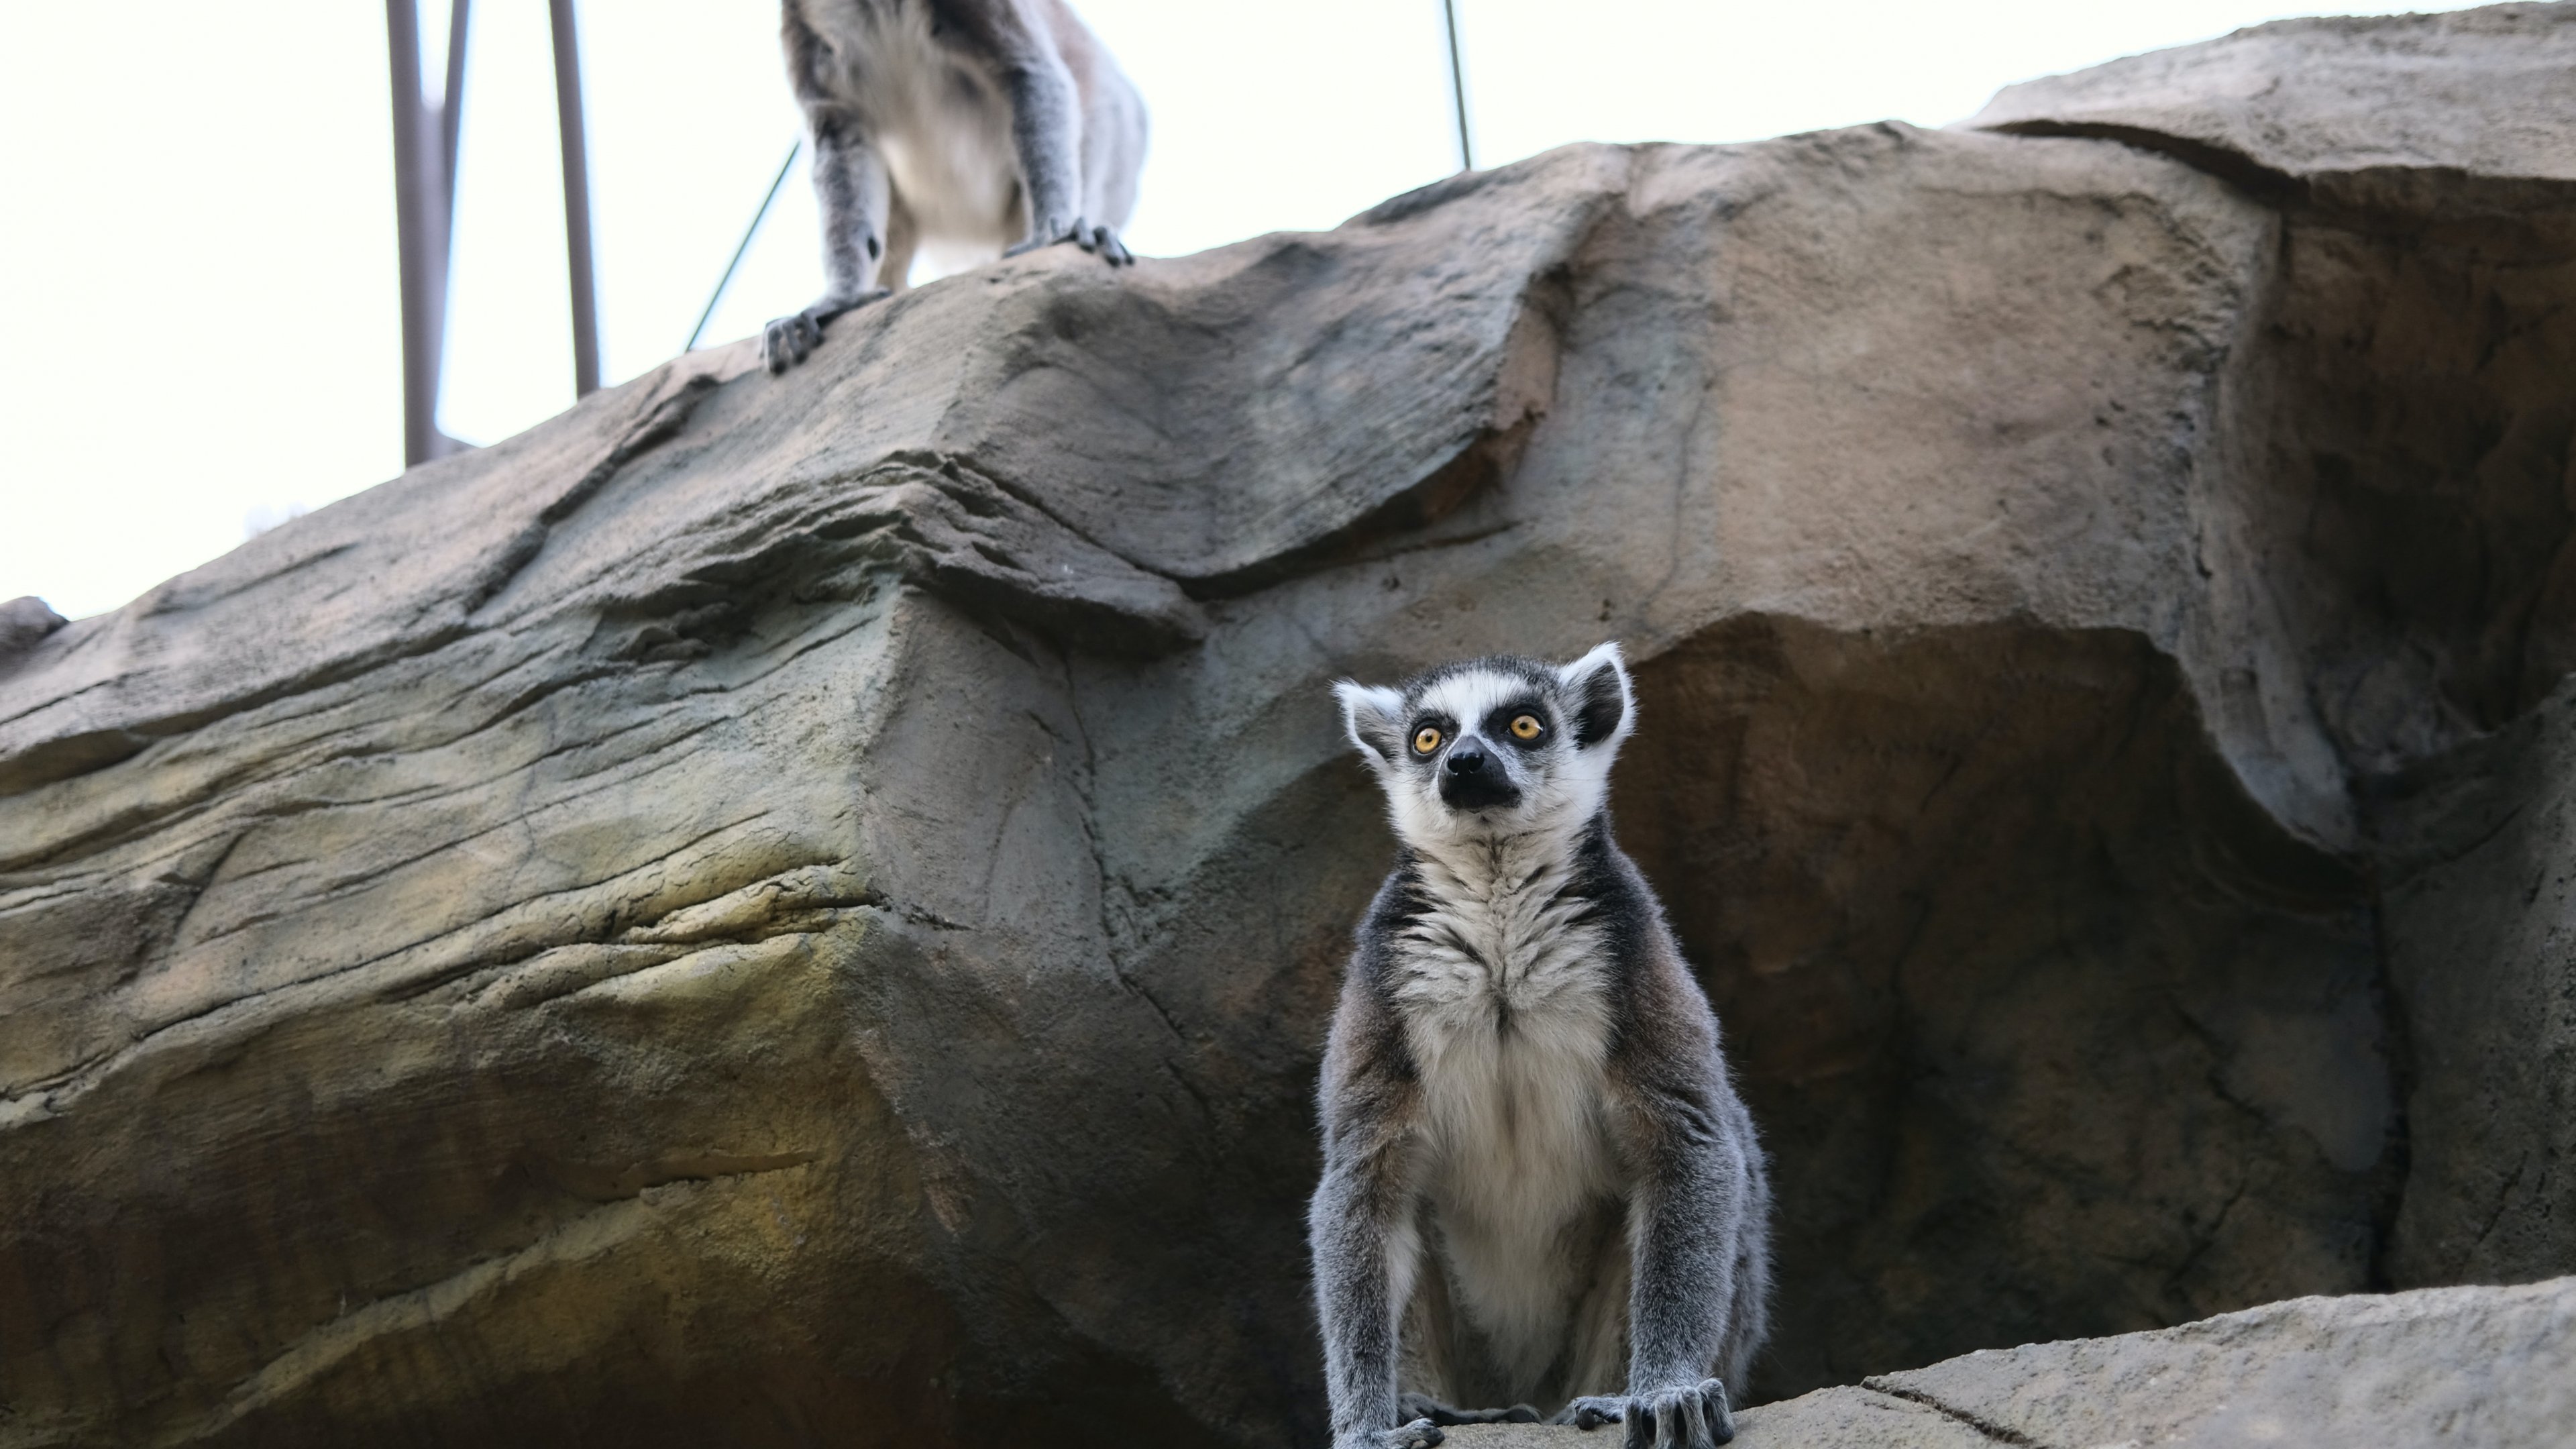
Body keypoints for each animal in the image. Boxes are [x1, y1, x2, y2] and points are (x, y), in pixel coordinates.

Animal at [1313, 644, 1772, 1449]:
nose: (1464, 762)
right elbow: (1363, 1178)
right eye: (1428, 738)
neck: (1498, 896)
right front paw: (1365, 1430)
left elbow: (1690, 1136)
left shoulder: (1633, 952)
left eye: (1522, 725)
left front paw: (1667, 1390)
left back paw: (1609, 1401)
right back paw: (1446, 1409)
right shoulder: (1382, 981)